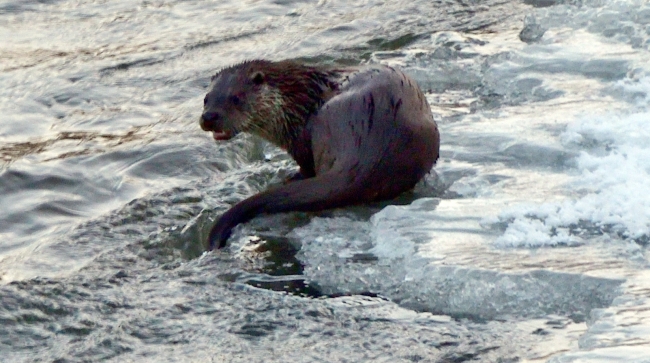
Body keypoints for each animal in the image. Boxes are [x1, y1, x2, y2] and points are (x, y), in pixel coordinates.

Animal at [200, 60, 438, 250]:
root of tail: (370, 152)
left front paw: (292, 176)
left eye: (236, 98)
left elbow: (304, 163)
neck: (295, 101)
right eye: (206, 99)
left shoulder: (297, 139)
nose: (209, 117)